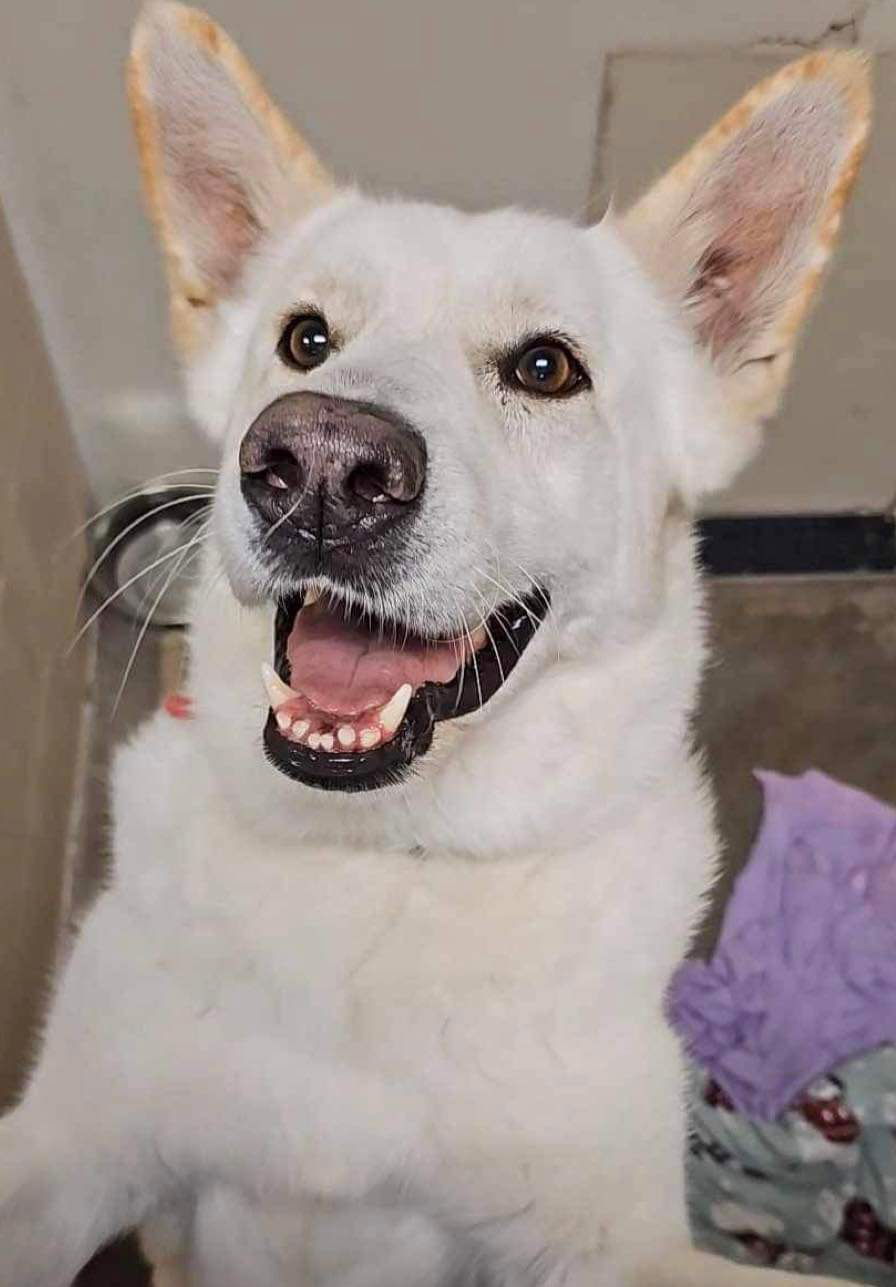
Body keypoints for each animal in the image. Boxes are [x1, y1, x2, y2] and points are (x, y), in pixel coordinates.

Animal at [0, 5, 870, 1281]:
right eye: (305, 339)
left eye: (545, 366)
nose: (317, 464)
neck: (386, 863)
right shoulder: (67, 1149)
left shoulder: (612, 1248)